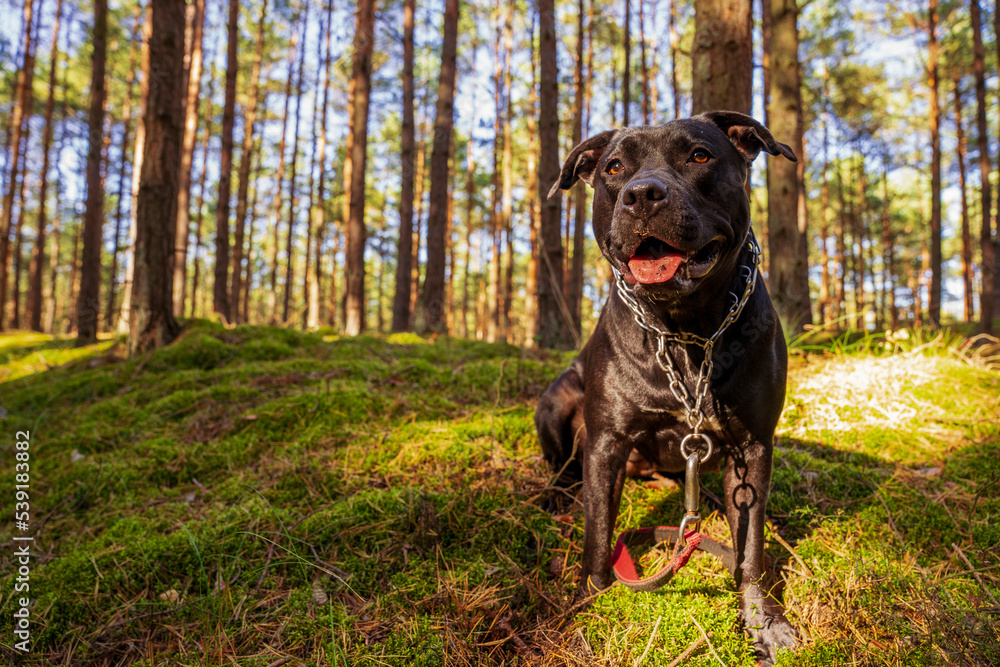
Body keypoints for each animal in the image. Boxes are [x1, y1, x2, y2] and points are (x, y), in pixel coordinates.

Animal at [536, 112, 800, 664]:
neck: (685, 333)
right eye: (615, 167)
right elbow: (598, 535)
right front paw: (586, 606)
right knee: (563, 466)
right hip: (555, 402)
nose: (642, 194)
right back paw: (554, 496)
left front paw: (763, 623)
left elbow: (750, 550)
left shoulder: (752, 447)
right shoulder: (606, 443)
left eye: (699, 155)